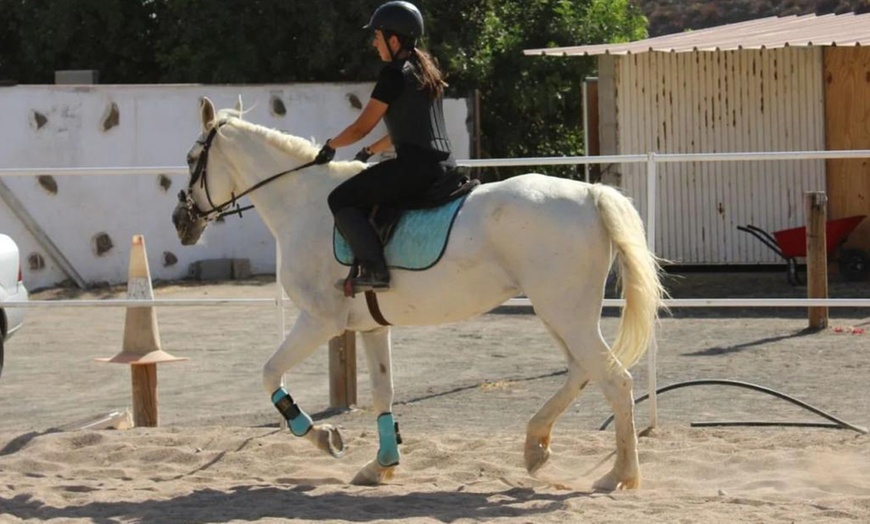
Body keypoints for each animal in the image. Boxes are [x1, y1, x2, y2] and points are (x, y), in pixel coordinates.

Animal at [172, 98, 668, 492]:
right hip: (559, 312)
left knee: (615, 380)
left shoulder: (319, 321)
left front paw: (321, 436)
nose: (182, 221)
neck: (305, 204)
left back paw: (619, 476)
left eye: (193, 157)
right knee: (582, 372)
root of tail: (590, 194)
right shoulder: (370, 327)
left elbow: (270, 374)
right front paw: (381, 465)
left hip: (564, 312)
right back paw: (535, 448)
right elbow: (383, 394)